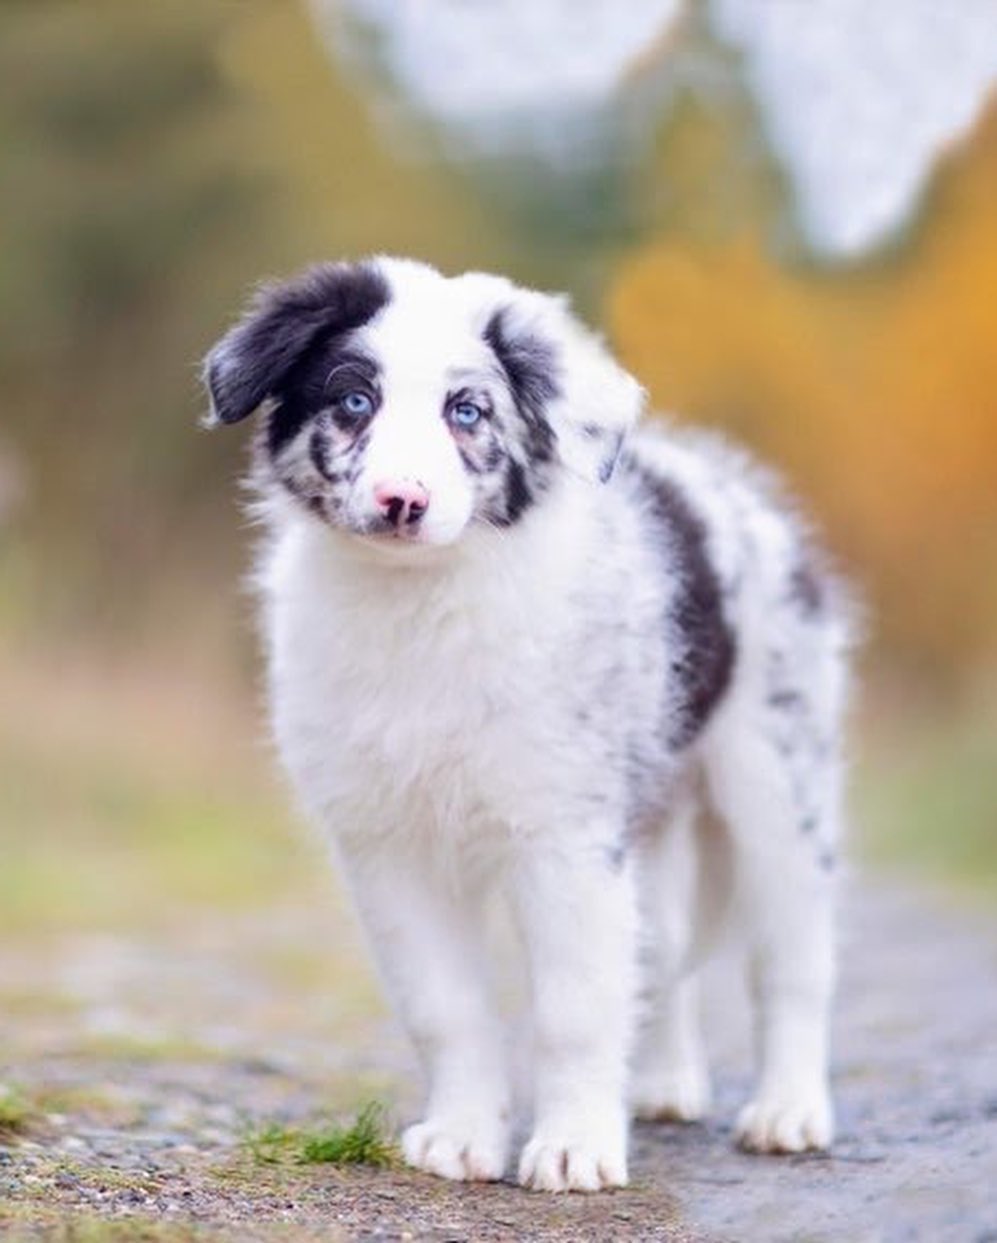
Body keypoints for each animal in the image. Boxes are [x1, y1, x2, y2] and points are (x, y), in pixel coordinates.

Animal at [203, 254, 855, 1193]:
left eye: (467, 411)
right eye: (353, 399)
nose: (401, 499)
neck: (422, 607)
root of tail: (725, 482)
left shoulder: (566, 835)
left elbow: (573, 1006)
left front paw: (575, 1145)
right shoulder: (386, 843)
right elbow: (446, 1005)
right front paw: (462, 1135)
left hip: (777, 781)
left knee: (792, 959)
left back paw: (788, 1111)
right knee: (660, 951)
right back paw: (663, 1084)